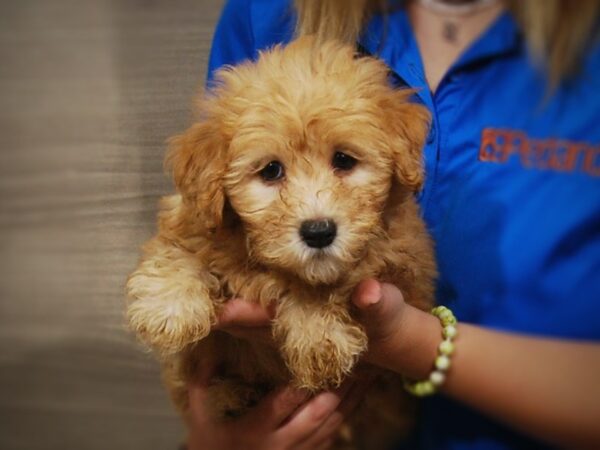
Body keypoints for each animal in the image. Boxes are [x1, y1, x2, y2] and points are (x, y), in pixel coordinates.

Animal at [126, 37, 436, 448]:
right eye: (271, 170)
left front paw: (318, 336)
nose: (318, 232)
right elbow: (180, 250)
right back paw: (229, 397)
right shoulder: (192, 218)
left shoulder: (400, 267)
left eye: (344, 160)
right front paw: (168, 309)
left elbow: (321, 284)